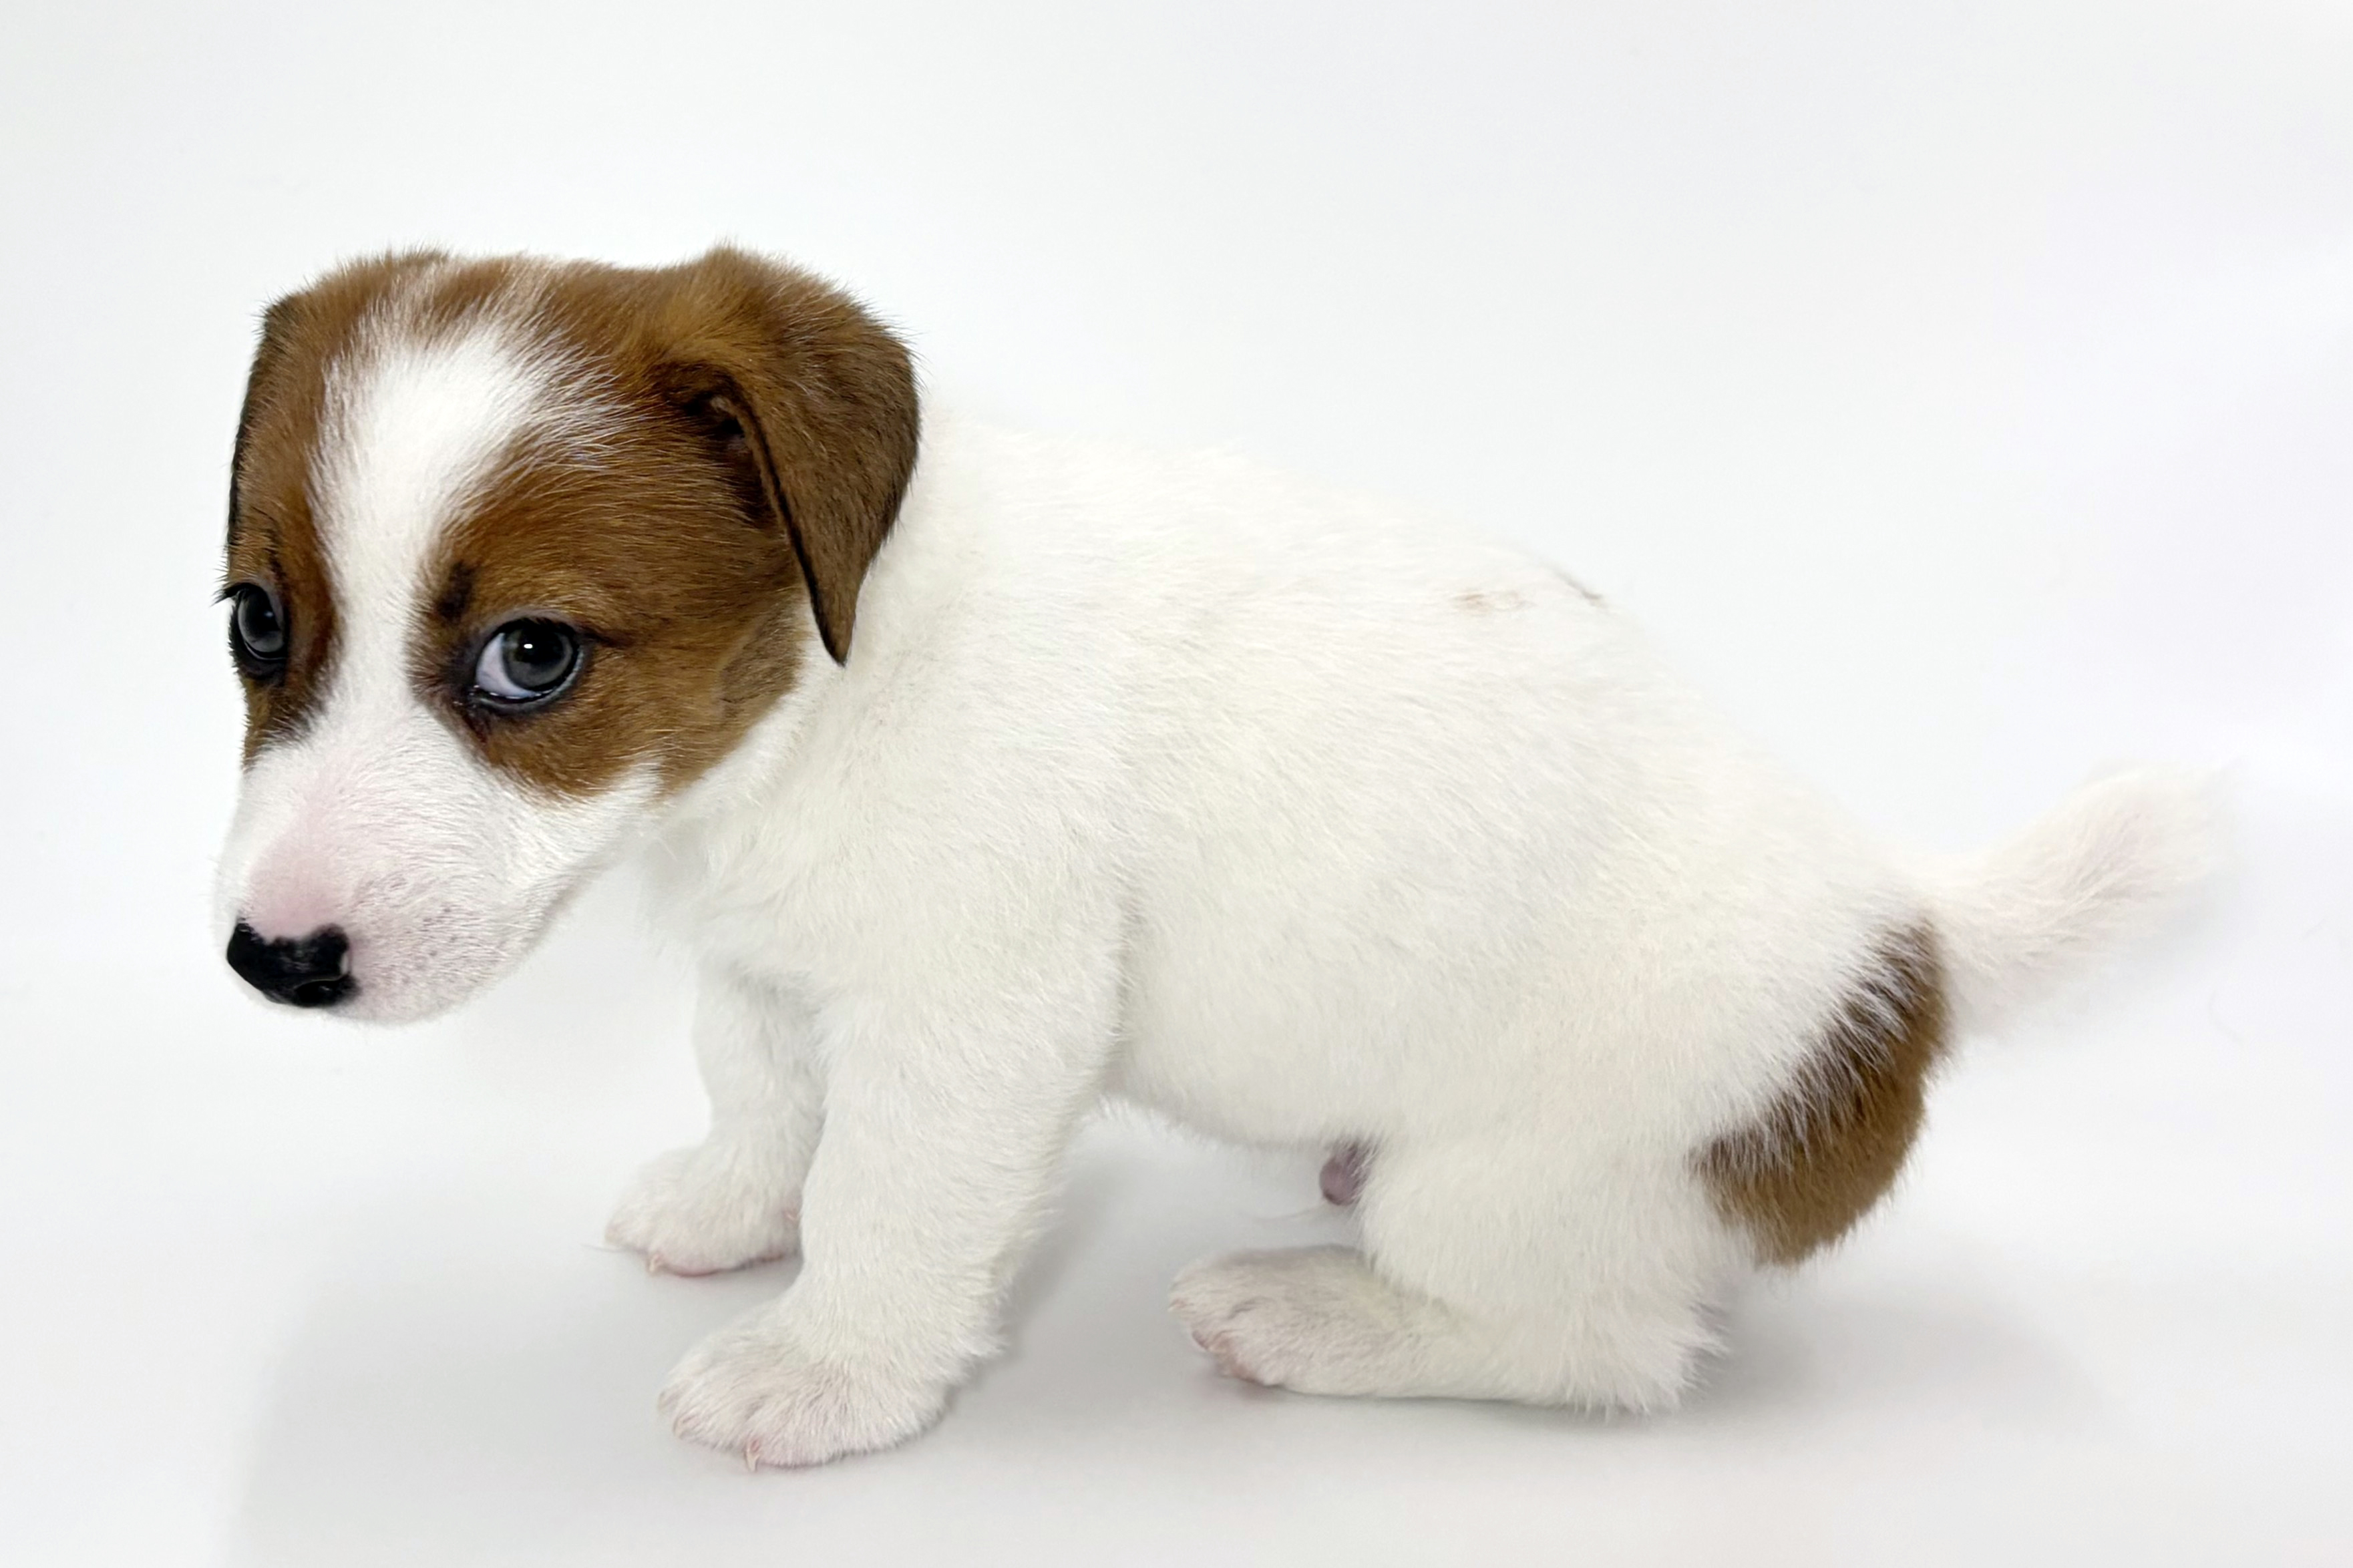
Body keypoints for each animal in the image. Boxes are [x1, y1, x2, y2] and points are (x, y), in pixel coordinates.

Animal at [214, 246, 2210, 1467]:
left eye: (531, 657)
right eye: (254, 622)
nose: (269, 961)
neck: (816, 689)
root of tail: (1905, 943)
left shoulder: (973, 1026)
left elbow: (885, 1201)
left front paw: (826, 1365)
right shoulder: (774, 963)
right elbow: (767, 1094)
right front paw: (730, 1205)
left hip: (1518, 1188)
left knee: (1599, 1348)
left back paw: (1315, 1317)